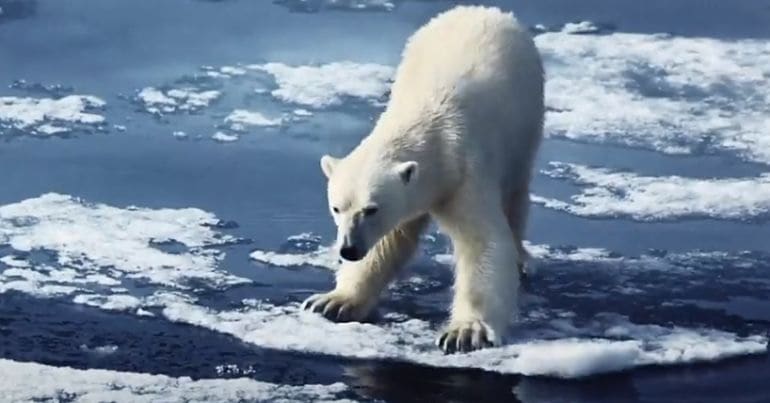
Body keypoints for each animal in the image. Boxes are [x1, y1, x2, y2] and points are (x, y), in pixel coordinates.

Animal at [304, 5, 544, 354]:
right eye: (337, 208)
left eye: (372, 209)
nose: (348, 249)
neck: (432, 129)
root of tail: (485, 9)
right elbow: (387, 243)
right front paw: (333, 302)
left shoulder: (466, 173)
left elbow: (483, 243)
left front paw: (464, 332)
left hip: (525, 127)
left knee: (516, 196)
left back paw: (522, 259)